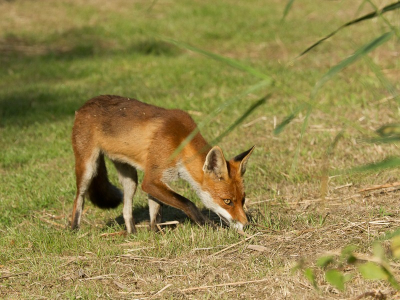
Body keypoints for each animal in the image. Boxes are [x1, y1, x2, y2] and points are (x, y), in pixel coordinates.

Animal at [71, 95, 253, 233]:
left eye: (243, 200)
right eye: (227, 201)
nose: (246, 225)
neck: (180, 140)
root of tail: (86, 103)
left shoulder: (156, 180)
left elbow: (155, 211)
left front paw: (155, 233)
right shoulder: (151, 180)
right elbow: (188, 203)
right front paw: (208, 225)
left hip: (130, 178)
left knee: (126, 210)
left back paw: (132, 233)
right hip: (88, 168)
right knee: (79, 198)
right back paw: (73, 229)